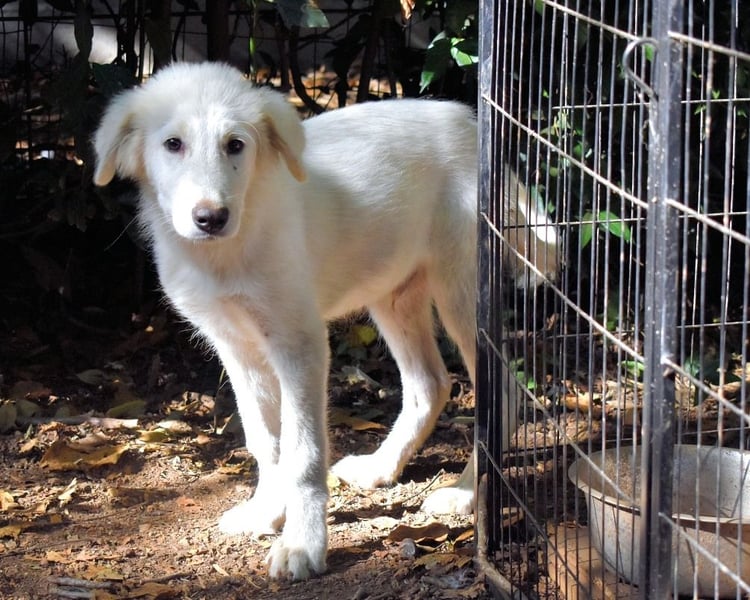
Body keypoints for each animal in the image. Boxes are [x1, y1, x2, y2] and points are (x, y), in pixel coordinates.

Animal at [93, 62, 558, 580]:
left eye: (235, 145)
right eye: (172, 144)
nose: (211, 218)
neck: (228, 251)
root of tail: (469, 125)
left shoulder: (300, 344)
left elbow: (302, 452)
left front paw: (302, 544)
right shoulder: (237, 347)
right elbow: (267, 443)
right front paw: (266, 512)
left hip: (461, 291)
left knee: (502, 392)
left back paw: (463, 493)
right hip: (393, 292)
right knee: (430, 384)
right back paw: (382, 466)